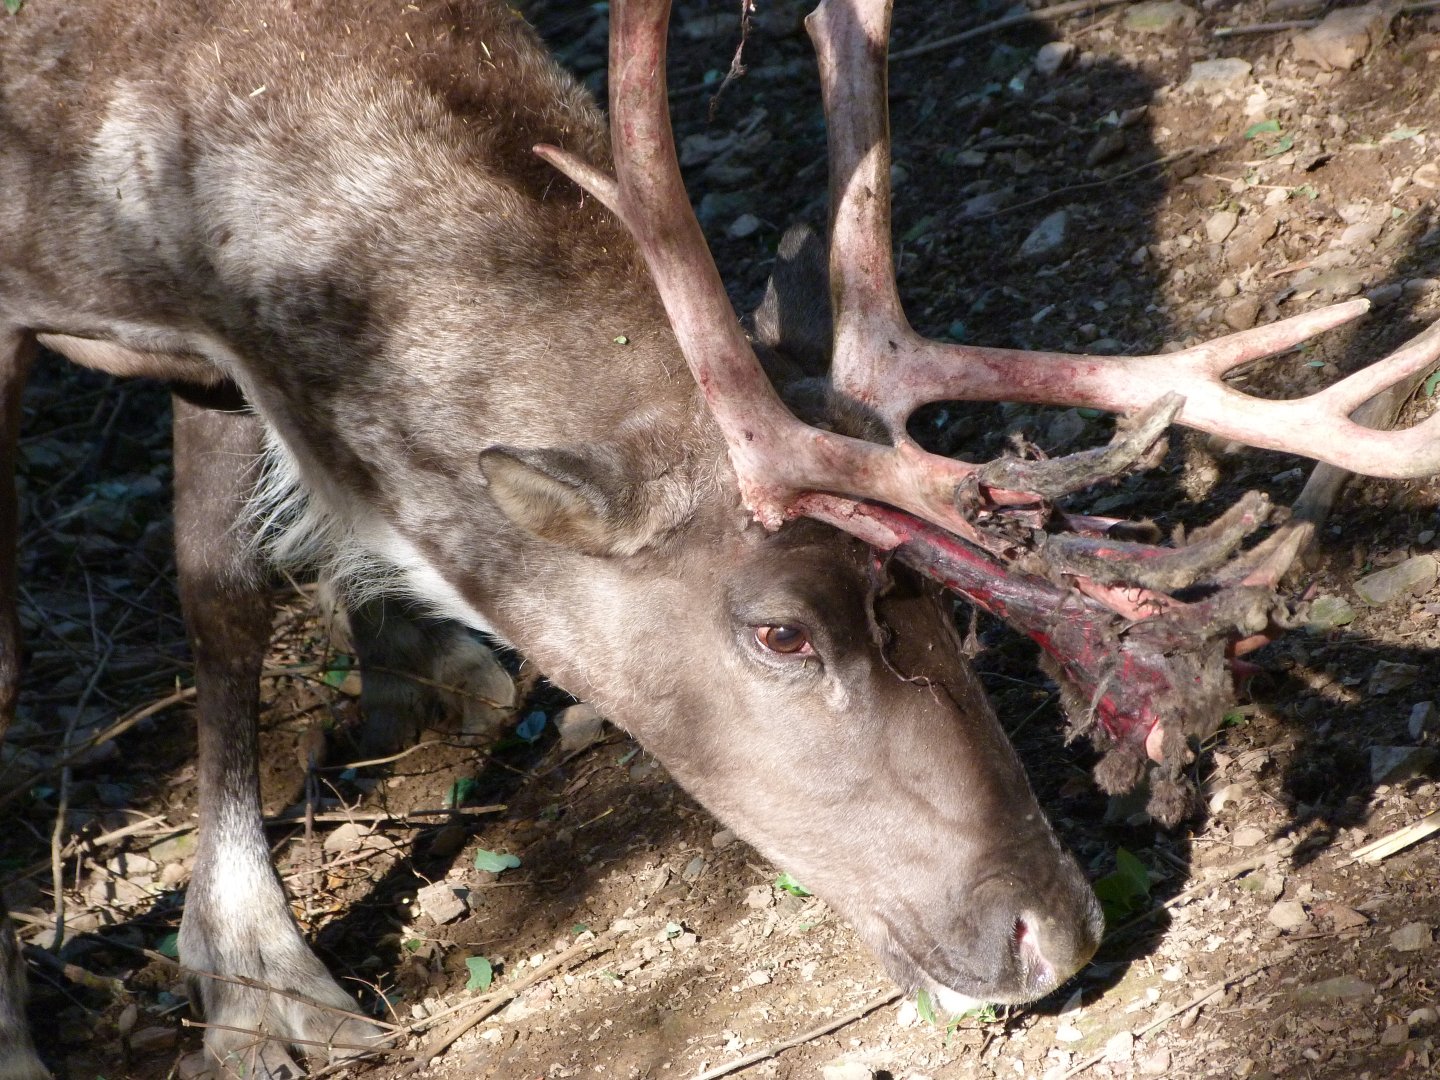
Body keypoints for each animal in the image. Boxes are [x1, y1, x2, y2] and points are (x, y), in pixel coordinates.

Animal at [2, 0, 1438, 1076]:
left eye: (930, 594)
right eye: (781, 631)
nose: (1059, 928)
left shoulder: (220, 356)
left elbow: (223, 594)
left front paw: (254, 974)